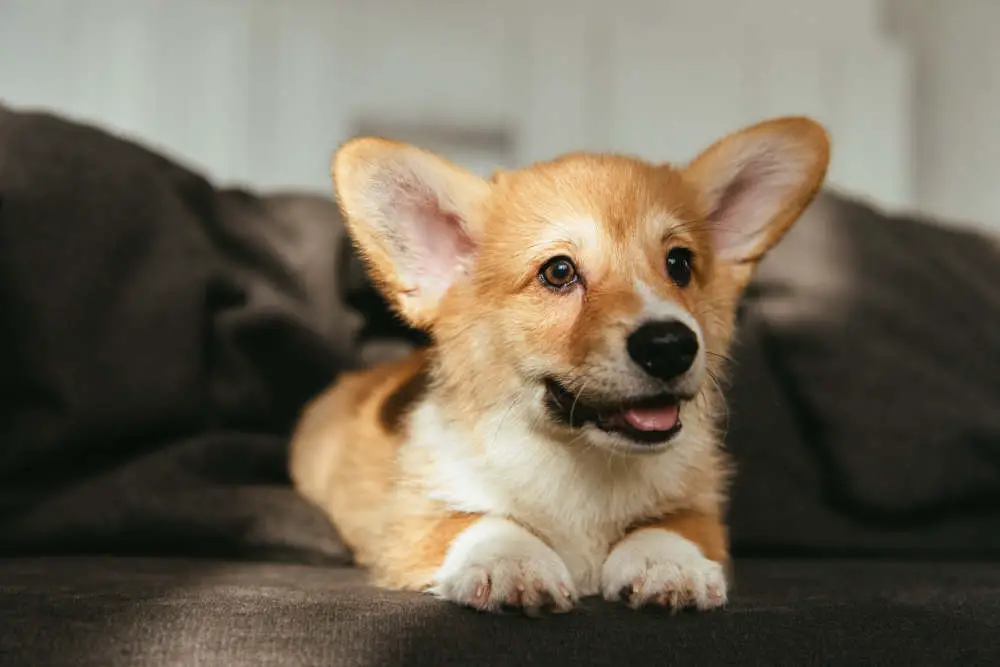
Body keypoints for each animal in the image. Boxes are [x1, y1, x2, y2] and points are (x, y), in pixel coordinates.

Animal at [292, 116, 832, 616]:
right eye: (558, 272)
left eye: (679, 264)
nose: (670, 345)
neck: (583, 463)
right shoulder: (409, 522)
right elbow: (478, 520)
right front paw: (510, 562)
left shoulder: (698, 507)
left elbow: (672, 526)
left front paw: (668, 564)